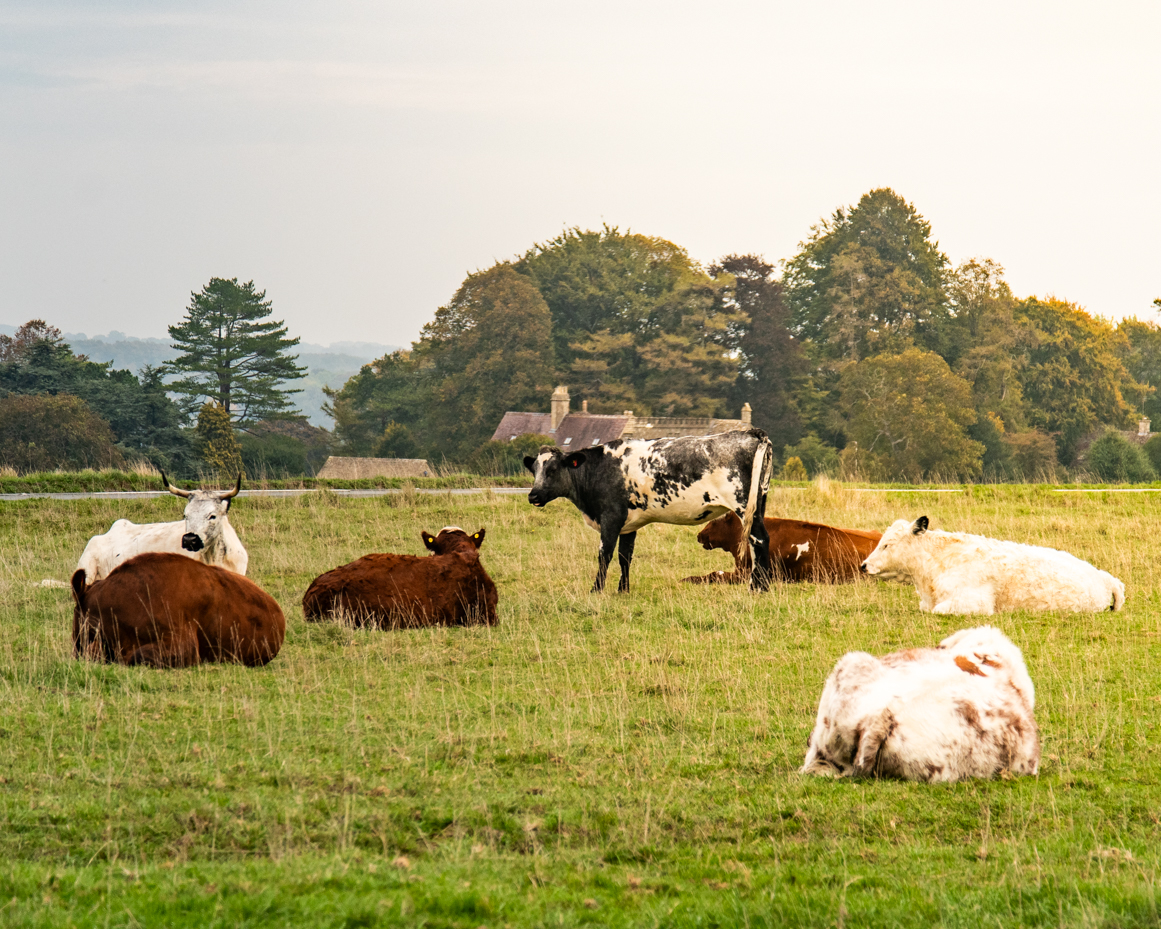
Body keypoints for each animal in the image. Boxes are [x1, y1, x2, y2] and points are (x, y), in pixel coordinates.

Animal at [524, 429, 774, 593]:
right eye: (534, 470)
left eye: (553, 470)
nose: (533, 496)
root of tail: (750, 432)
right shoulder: (628, 524)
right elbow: (625, 556)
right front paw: (623, 590)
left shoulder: (611, 517)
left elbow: (605, 554)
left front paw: (596, 590)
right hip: (758, 502)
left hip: (743, 504)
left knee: (758, 539)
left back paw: (758, 587)